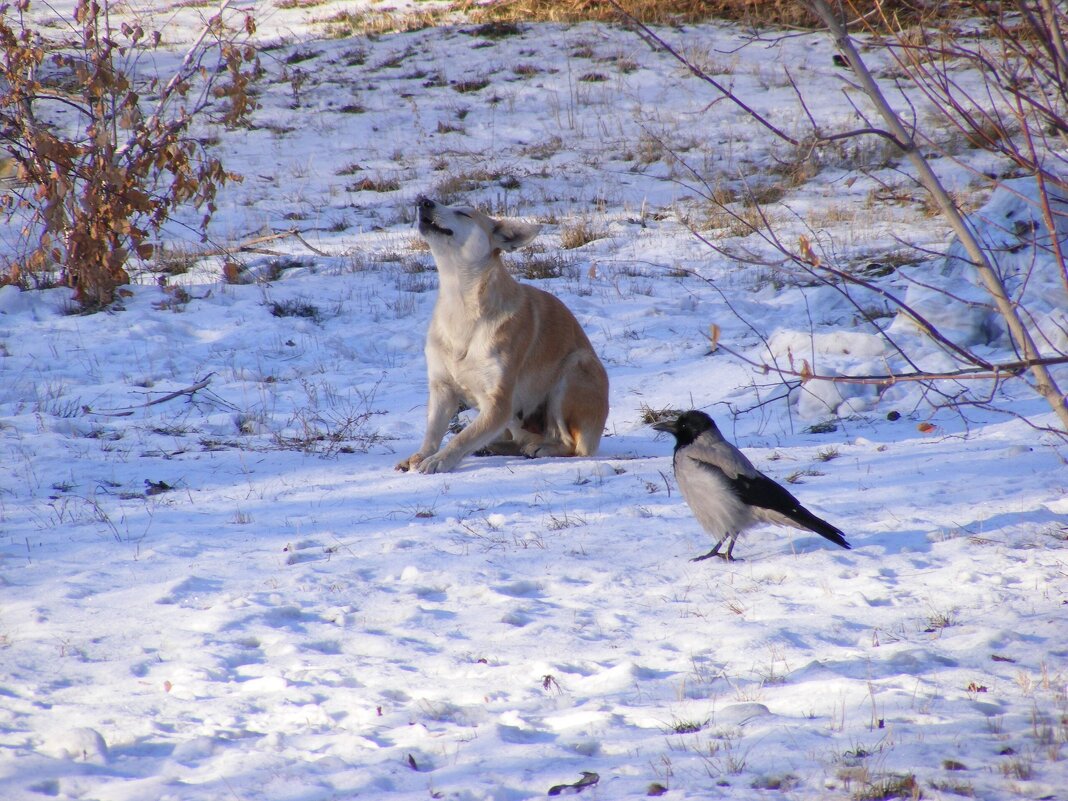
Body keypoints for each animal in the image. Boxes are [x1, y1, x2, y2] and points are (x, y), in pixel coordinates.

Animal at [397, 197, 610, 474]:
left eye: (464, 213)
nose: (424, 201)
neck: (460, 304)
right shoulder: (442, 390)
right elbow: (433, 433)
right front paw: (422, 455)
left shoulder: (498, 404)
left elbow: (461, 437)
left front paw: (439, 460)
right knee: (518, 440)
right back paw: (496, 447)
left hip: (573, 371)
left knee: (570, 444)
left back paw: (542, 448)